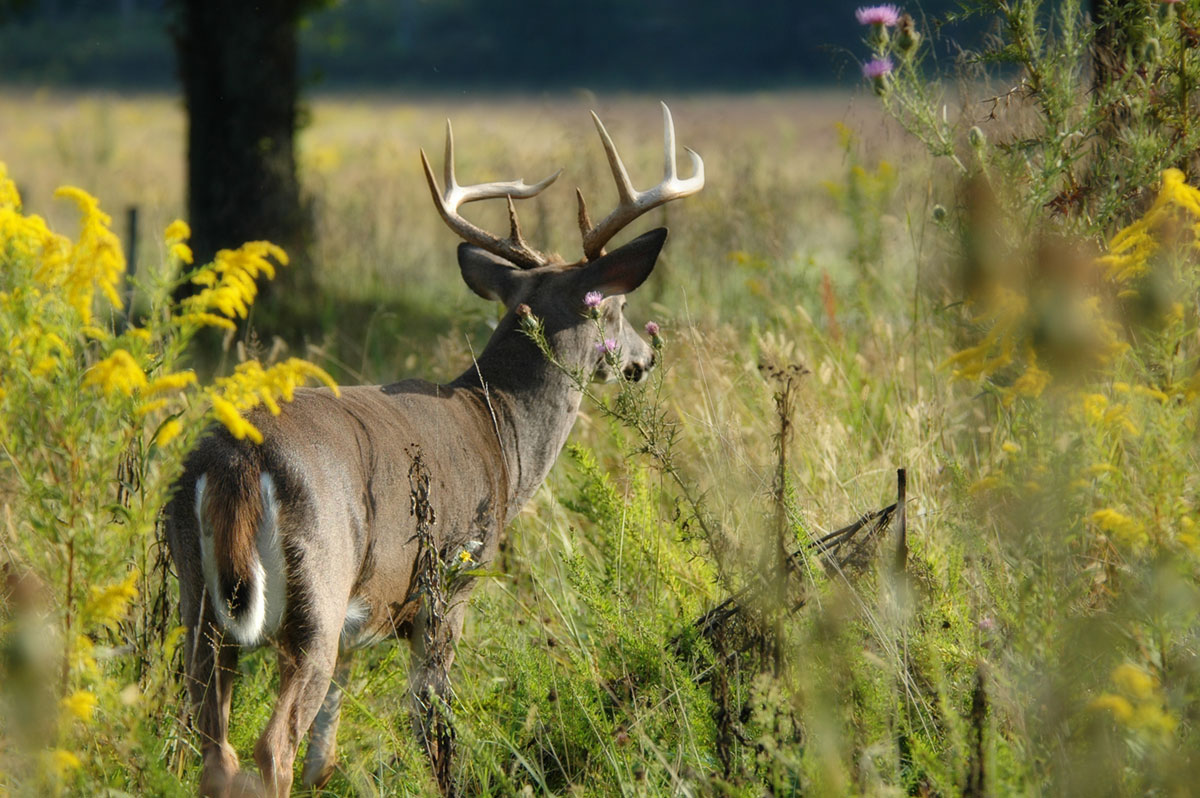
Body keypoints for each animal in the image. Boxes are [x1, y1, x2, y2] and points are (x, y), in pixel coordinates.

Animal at [164, 105, 700, 796]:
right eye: (617, 304)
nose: (644, 357)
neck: (500, 435)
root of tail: (235, 462)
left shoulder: (363, 620)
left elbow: (325, 757)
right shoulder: (450, 582)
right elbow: (436, 731)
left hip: (198, 603)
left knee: (217, 749)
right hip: (318, 587)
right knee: (270, 744)